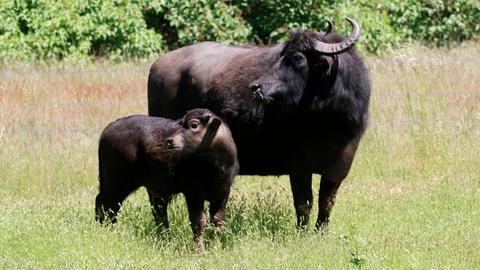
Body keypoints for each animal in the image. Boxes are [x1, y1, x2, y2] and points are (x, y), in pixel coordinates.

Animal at [95, 108, 238, 250]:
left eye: (194, 124)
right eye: (181, 123)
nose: (169, 141)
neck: (216, 167)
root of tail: (109, 128)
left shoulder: (223, 193)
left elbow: (218, 222)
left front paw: (215, 248)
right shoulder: (193, 194)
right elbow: (199, 222)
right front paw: (199, 249)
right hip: (116, 181)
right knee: (104, 201)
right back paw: (104, 227)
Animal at [147, 17, 372, 229]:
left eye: (297, 58)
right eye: (282, 55)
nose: (256, 86)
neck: (328, 121)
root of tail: (158, 66)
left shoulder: (340, 166)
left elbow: (327, 201)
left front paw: (320, 231)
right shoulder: (299, 166)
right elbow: (303, 203)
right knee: (157, 196)